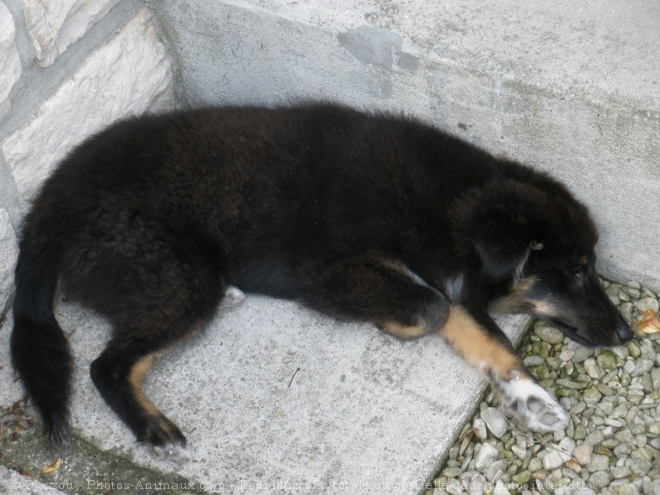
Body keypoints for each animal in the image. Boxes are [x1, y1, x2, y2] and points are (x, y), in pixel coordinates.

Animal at [9, 103, 628, 462]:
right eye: (576, 269)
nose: (627, 333)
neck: (446, 208)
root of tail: (44, 214)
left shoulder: (446, 277)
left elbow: (486, 336)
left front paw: (530, 397)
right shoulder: (326, 273)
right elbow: (428, 308)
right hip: (174, 275)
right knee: (105, 366)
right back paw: (154, 429)